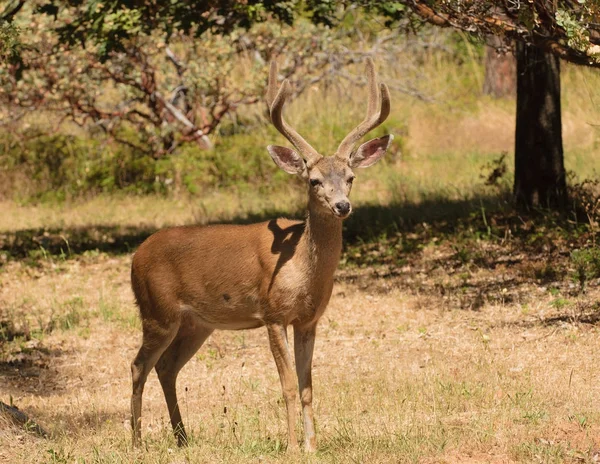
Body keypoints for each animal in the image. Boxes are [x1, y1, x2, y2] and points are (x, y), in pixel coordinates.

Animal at [129, 56, 392, 452]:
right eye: (313, 180)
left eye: (350, 177)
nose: (342, 206)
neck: (303, 269)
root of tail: (135, 257)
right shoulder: (272, 314)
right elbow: (287, 385)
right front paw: (291, 446)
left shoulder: (308, 320)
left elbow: (308, 386)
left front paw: (312, 446)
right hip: (156, 312)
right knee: (138, 365)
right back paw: (137, 441)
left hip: (195, 323)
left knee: (166, 366)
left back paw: (182, 437)